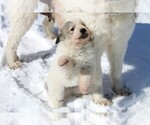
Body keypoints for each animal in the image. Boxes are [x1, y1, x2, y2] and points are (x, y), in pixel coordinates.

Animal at [4, 0, 137, 98]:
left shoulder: (120, 42)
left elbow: (117, 70)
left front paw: (120, 90)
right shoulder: (94, 46)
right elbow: (97, 76)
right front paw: (99, 99)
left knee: (45, 22)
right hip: (24, 12)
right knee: (12, 39)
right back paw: (12, 62)